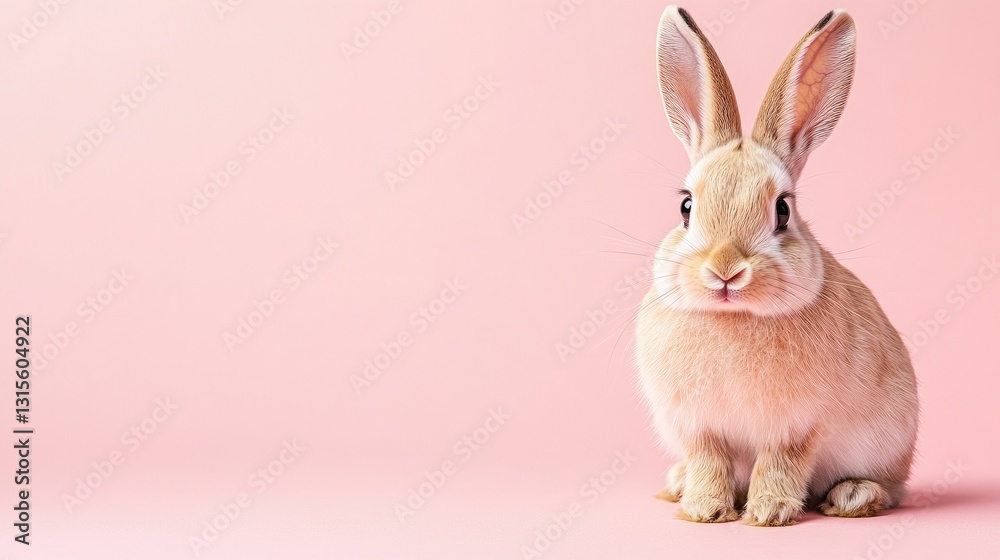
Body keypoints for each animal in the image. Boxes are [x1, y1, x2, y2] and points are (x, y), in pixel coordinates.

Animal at [636, 6, 919, 526]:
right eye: (686, 207)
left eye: (782, 211)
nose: (725, 270)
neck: (733, 318)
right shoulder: (699, 427)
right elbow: (709, 461)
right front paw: (705, 509)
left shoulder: (796, 426)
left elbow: (780, 463)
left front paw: (768, 513)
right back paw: (678, 484)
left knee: (889, 489)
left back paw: (853, 496)